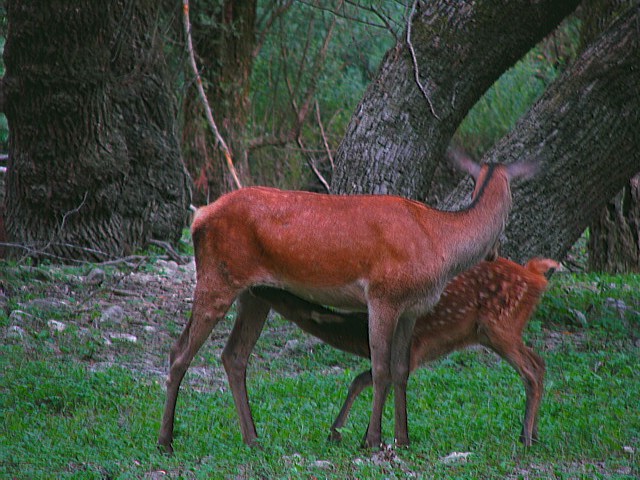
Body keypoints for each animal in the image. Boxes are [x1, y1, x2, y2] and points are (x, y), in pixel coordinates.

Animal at [248, 256, 556, 448]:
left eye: (274, 291)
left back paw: (526, 438)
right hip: (495, 331)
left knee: (532, 369)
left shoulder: (414, 349)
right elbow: (365, 378)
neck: (356, 332)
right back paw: (534, 434)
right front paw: (350, 433)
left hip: (499, 326)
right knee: (539, 362)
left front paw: (349, 434)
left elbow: (368, 378)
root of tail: (536, 276)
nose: (252, 287)